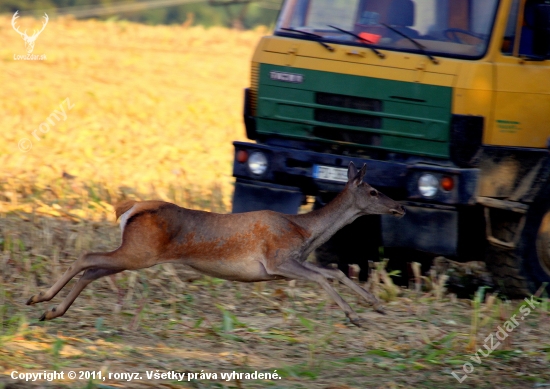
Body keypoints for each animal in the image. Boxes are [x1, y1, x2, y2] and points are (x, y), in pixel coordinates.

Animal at [27, 162, 406, 326]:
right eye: (374, 191)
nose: (400, 207)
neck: (304, 230)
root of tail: (130, 208)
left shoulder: (288, 263)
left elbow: (333, 272)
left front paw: (377, 305)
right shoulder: (276, 260)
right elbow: (323, 277)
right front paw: (352, 314)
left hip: (135, 253)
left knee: (92, 271)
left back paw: (51, 310)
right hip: (139, 252)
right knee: (86, 257)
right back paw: (39, 298)